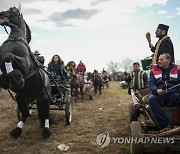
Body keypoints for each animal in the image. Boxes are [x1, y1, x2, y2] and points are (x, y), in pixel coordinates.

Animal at [0, 6, 51, 138]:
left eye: (15, 11)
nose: (1, 15)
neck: (15, 39)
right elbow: (4, 65)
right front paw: (6, 80)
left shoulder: (25, 64)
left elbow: (8, 56)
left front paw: (18, 79)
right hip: (22, 98)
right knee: (25, 114)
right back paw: (17, 130)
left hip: (44, 98)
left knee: (46, 114)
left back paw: (46, 131)